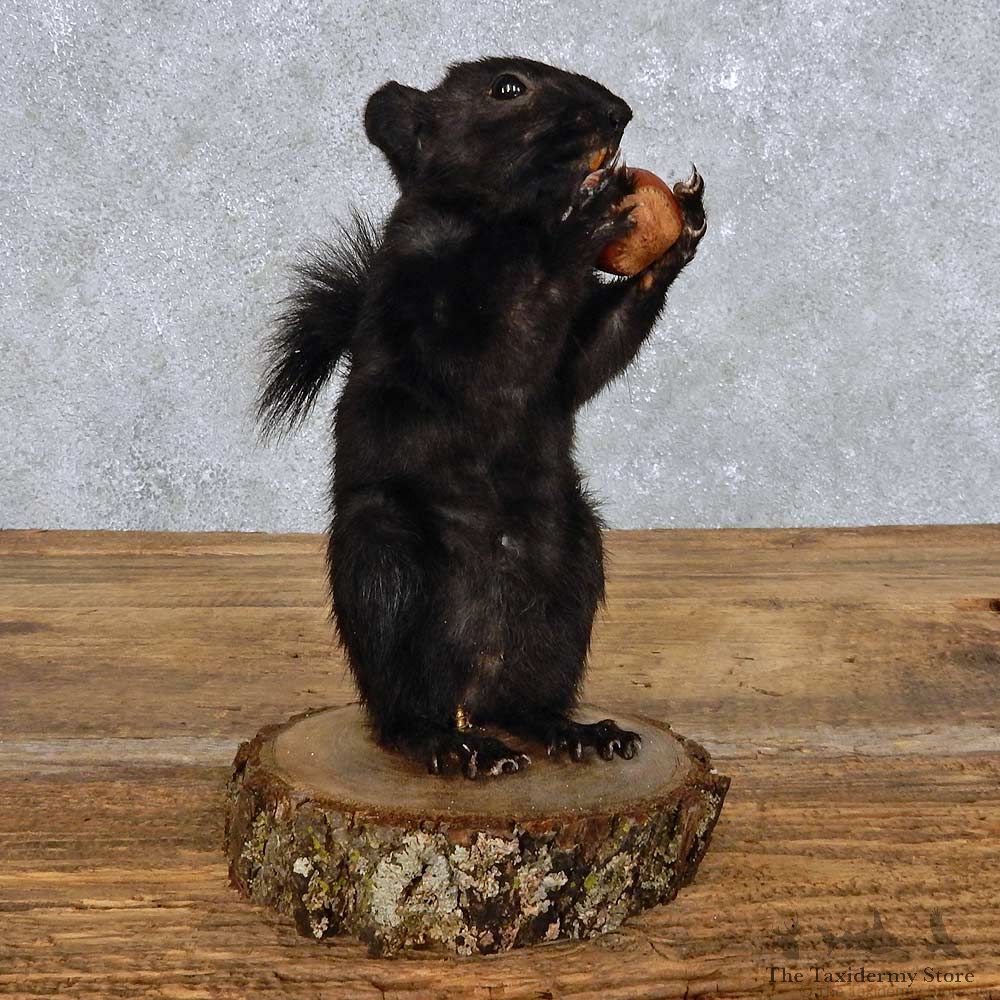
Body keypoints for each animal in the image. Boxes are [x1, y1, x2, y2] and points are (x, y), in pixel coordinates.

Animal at [257, 57, 706, 779]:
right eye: (507, 88)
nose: (619, 113)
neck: (507, 224)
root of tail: (474, 687)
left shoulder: (561, 363)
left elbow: (588, 357)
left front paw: (682, 228)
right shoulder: (422, 309)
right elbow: (495, 337)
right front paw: (584, 218)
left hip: (571, 573)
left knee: (528, 703)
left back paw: (576, 731)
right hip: (385, 566)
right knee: (400, 712)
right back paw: (451, 745)